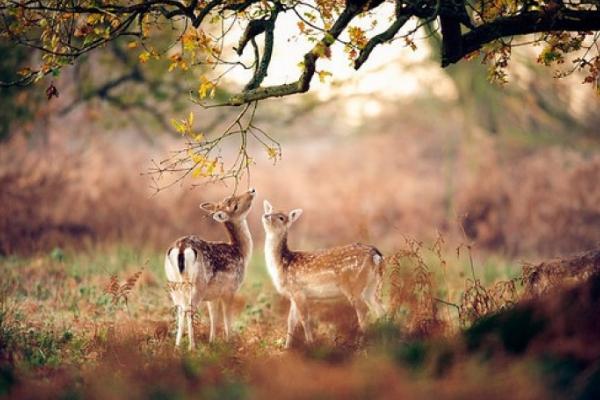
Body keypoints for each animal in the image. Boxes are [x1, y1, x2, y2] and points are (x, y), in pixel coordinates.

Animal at [164, 189, 255, 348]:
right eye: (235, 205)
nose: (251, 190)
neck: (241, 252)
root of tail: (180, 248)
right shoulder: (230, 290)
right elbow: (226, 317)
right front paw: (229, 341)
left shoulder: (212, 296)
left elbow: (213, 316)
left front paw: (212, 342)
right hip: (197, 284)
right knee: (189, 309)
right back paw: (192, 346)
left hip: (173, 284)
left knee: (180, 309)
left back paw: (177, 346)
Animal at [262, 200, 384, 346]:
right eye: (270, 210)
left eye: (281, 217)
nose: (266, 215)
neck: (283, 264)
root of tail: (376, 255)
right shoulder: (292, 294)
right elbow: (290, 321)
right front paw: (287, 347)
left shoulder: (297, 289)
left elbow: (304, 319)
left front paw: (310, 344)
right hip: (372, 286)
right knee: (380, 308)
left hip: (353, 284)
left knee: (364, 310)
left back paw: (362, 342)